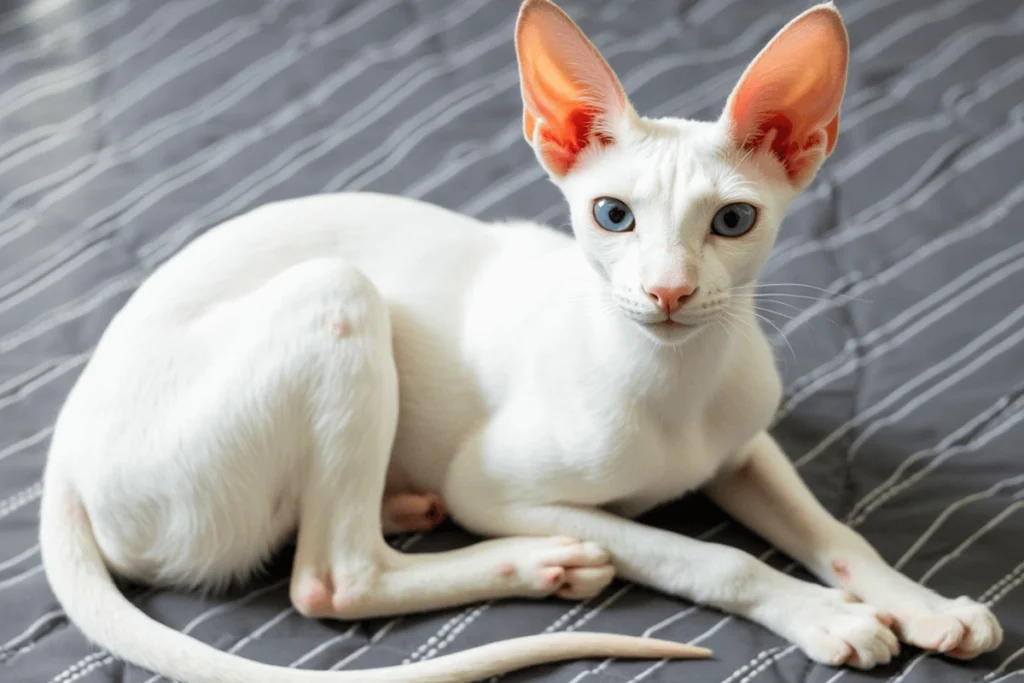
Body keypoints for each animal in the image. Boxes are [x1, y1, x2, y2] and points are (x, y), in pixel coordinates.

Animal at [39, 0, 999, 679]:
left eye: (733, 220)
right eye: (612, 215)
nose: (669, 290)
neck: (675, 381)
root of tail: (66, 443)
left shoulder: (743, 449)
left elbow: (841, 535)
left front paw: (919, 603)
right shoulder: (497, 487)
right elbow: (714, 558)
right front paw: (828, 616)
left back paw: (408, 503)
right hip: (335, 290)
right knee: (335, 576)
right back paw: (538, 563)